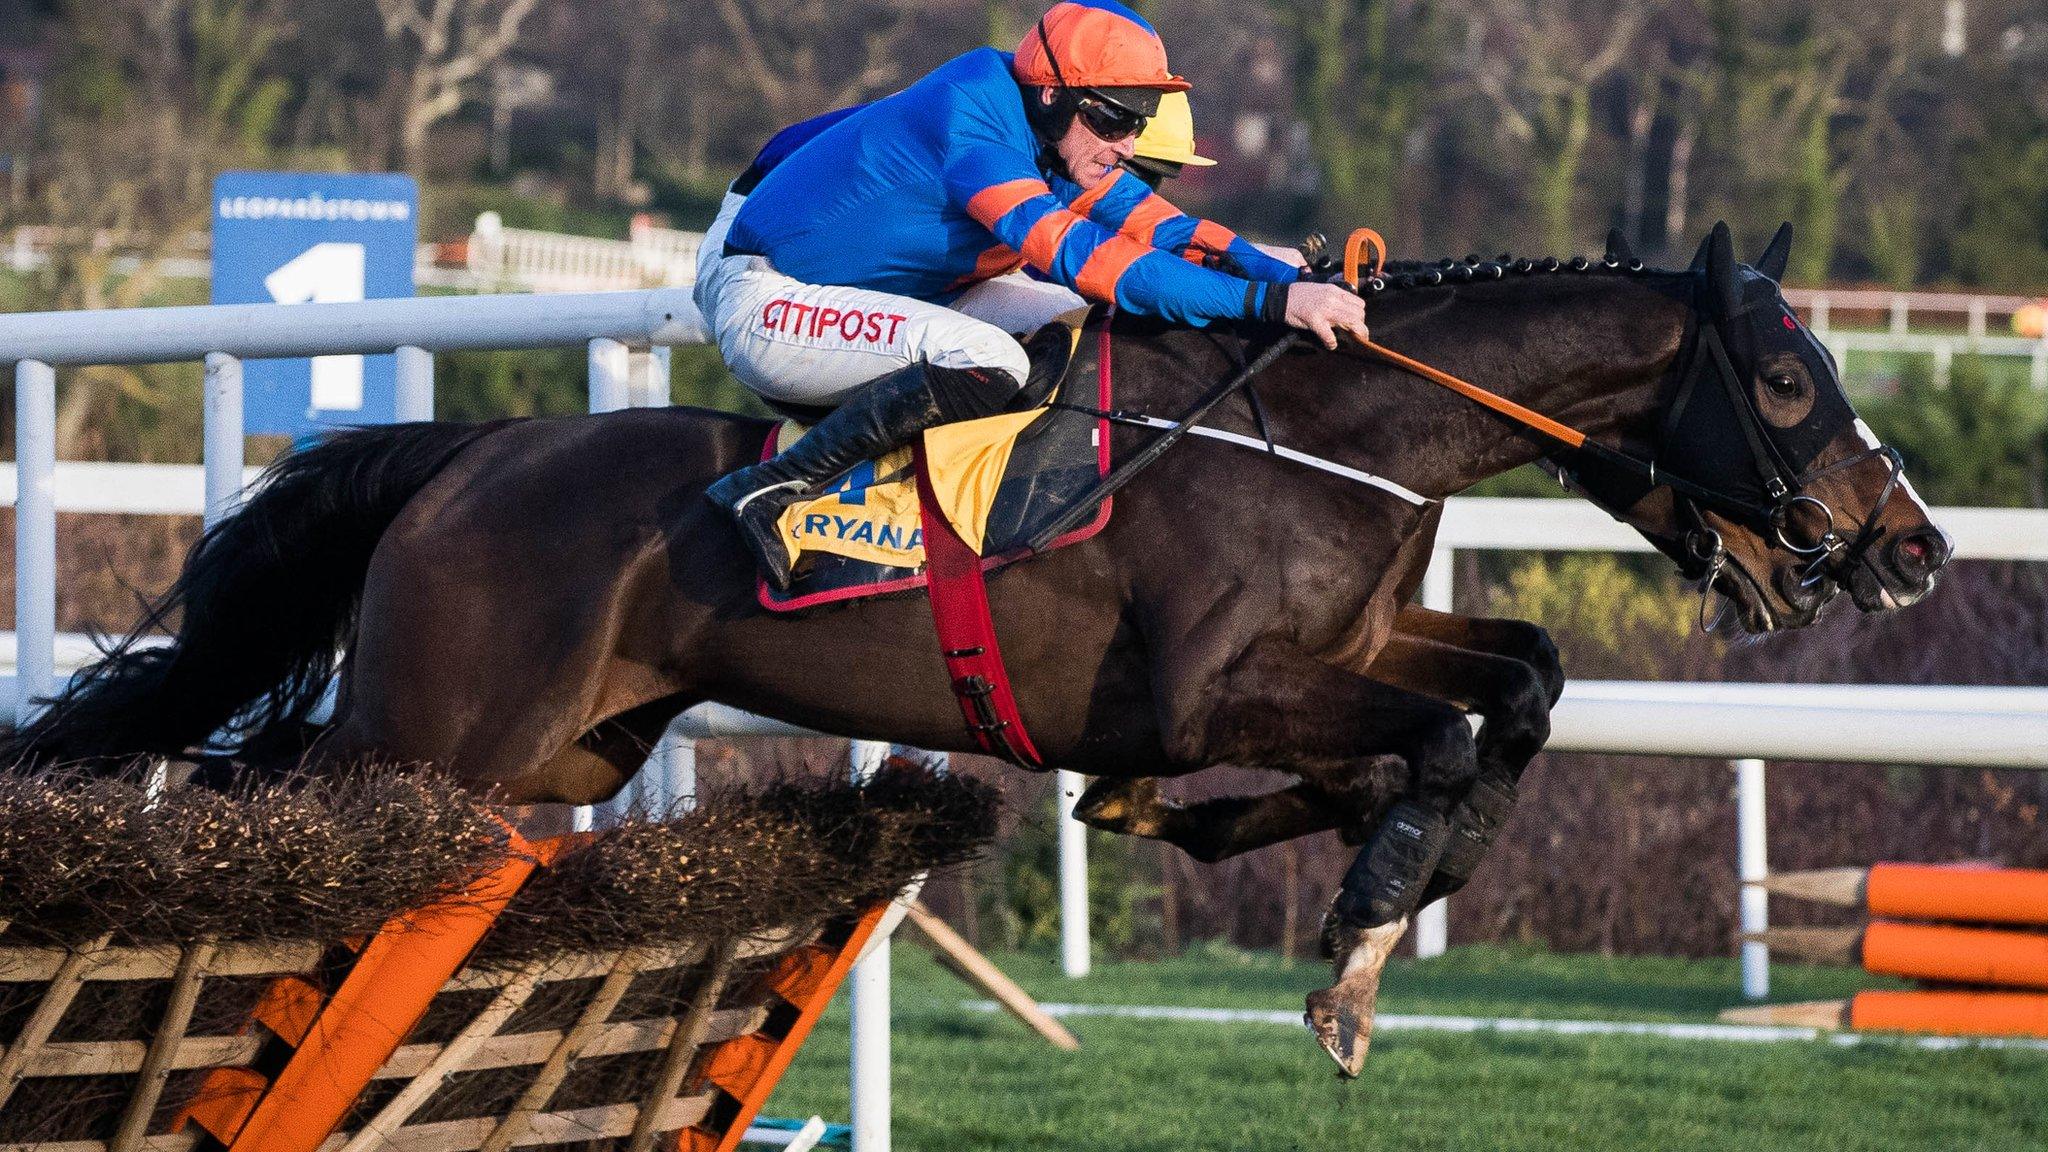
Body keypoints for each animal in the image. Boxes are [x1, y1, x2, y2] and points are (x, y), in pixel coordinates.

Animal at [4, 226, 1949, 1074]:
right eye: (1789, 379)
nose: (1912, 547)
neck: (1343, 429)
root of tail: (464, 454)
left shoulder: (1373, 636)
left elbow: (1516, 681)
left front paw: (1334, 892)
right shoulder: (1215, 688)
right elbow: (1445, 734)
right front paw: (1339, 905)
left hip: (552, 747)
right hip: (438, 727)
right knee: (272, 825)